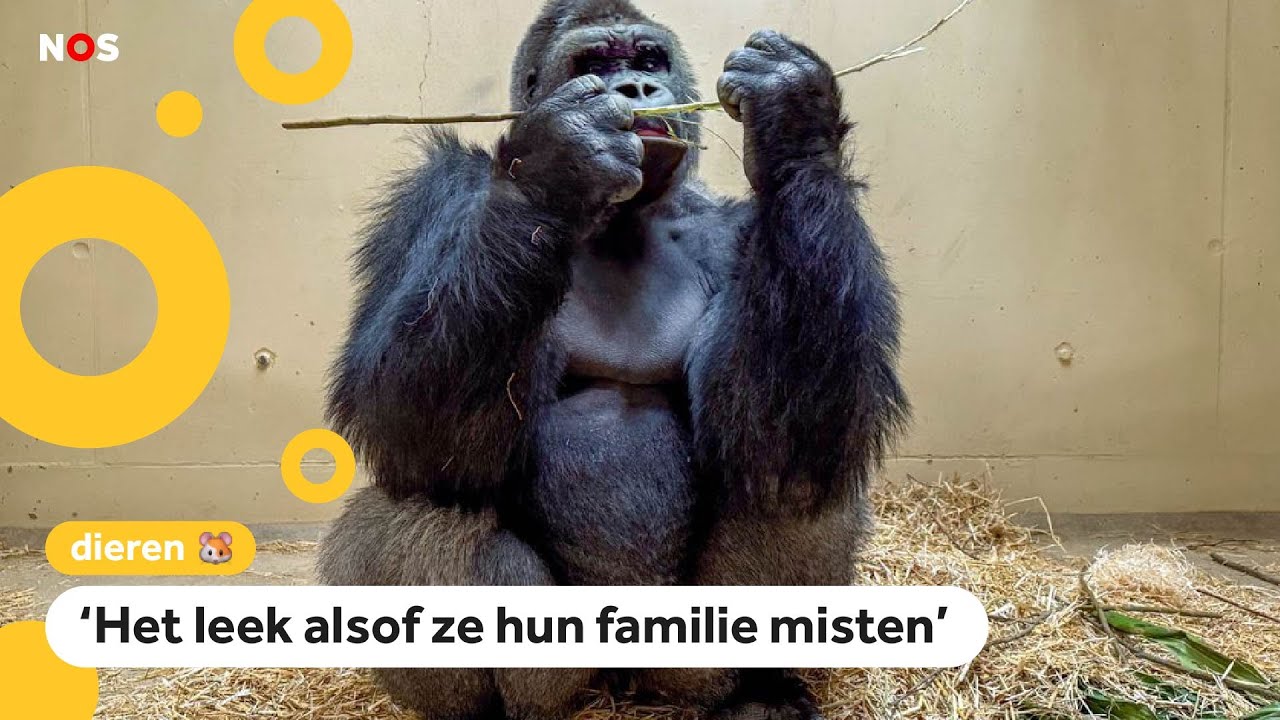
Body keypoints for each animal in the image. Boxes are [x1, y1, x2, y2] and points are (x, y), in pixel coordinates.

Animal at [319, 1, 909, 718]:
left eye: (648, 59)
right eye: (596, 63)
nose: (635, 89)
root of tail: (620, 683)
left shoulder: (730, 229)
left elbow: (774, 430)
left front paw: (790, 118)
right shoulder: (436, 191)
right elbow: (405, 418)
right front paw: (559, 165)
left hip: (680, 663)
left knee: (792, 479)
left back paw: (755, 691)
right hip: (566, 669)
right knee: (423, 502)